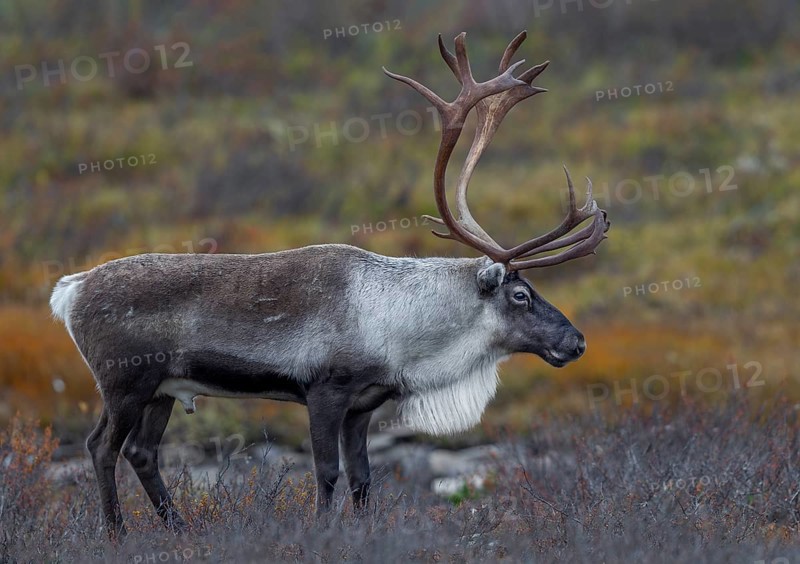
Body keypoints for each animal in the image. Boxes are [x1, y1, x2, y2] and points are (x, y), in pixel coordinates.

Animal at [50, 30, 609, 539]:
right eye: (521, 295)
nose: (577, 341)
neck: (401, 326)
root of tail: (70, 289)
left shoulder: (363, 405)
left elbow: (362, 477)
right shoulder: (324, 391)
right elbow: (326, 473)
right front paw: (322, 533)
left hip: (162, 389)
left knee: (142, 451)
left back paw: (180, 529)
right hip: (124, 383)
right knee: (102, 446)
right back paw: (117, 532)